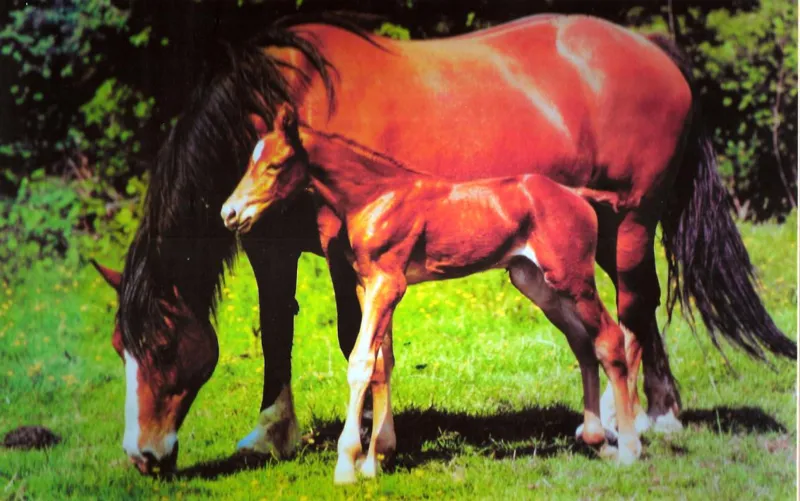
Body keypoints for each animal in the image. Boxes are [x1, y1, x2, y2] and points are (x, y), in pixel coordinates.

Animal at [221, 105, 646, 482]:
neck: (375, 197)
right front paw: (376, 461)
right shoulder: (368, 285)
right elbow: (382, 364)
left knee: (609, 338)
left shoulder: (388, 284)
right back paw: (597, 440)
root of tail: (577, 195)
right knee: (582, 342)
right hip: (536, 283)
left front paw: (347, 466)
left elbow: (361, 362)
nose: (229, 213)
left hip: (574, 280)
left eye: (275, 165)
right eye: (249, 163)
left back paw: (628, 448)